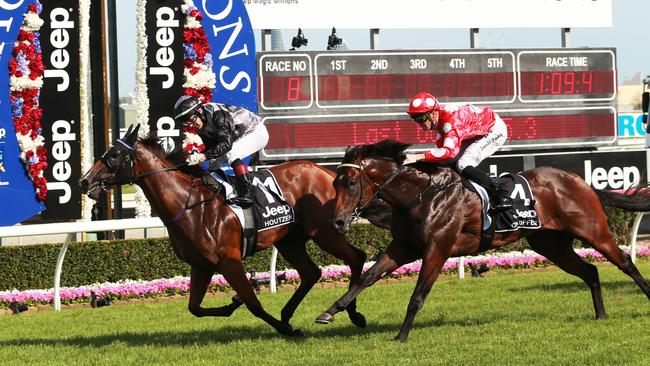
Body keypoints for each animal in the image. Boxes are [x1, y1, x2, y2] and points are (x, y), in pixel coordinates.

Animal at [78, 126, 388, 338]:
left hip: (324, 231)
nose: (84, 181)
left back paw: (351, 313)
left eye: (114, 155)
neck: (189, 205)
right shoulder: (201, 265)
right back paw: (288, 314)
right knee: (311, 272)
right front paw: (233, 306)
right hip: (290, 240)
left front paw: (283, 329)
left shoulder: (230, 261)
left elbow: (253, 304)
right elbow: (194, 308)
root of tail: (327, 172)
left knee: (357, 258)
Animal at [314, 141, 648, 344]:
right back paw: (600, 315)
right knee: (590, 271)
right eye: (335, 183)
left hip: (593, 231)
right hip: (550, 244)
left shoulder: (438, 248)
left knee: (625, 262)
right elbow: (367, 277)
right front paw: (330, 312)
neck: (421, 195)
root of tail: (579, 181)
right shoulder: (404, 247)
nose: (337, 222)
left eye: (352, 182)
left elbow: (418, 295)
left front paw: (401, 336)